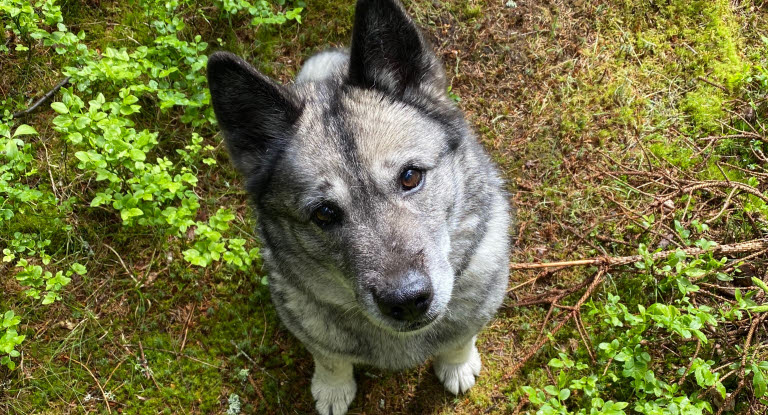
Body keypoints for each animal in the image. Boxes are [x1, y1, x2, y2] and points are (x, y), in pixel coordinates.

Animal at [207, 1, 512, 414]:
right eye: (324, 213)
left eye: (410, 176)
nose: (408, 302)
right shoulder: (311, 326)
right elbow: (330, 358)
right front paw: (333, 388)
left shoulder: (477, 306)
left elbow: (460, 339)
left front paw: (457, 364)